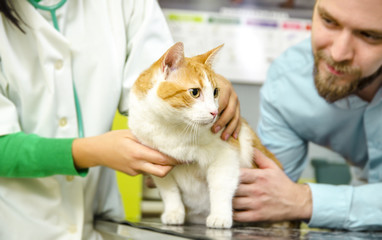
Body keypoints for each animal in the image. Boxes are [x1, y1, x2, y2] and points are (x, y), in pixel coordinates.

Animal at [130, 42, 282, 229]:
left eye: (215, 92)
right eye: (194, 92)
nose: (214, 112)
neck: (173, 127)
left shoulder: (226, 154)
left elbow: (220, 187)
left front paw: (220, 216)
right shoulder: (157, 165)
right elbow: (169, 191)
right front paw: (174, 213)